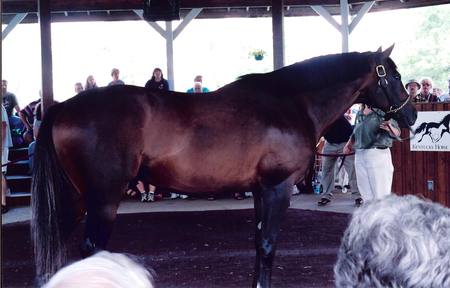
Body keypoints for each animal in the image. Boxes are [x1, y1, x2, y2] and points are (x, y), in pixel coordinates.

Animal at [33, 46, 416, 286]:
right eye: (394, 76)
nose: (411, 114)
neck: (292, 102)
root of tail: (64, 107)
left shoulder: (261, 189)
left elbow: (259, 242)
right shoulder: (278, 186)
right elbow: (268, 245)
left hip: (77, 199)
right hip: (103, 198)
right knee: (90, 251)